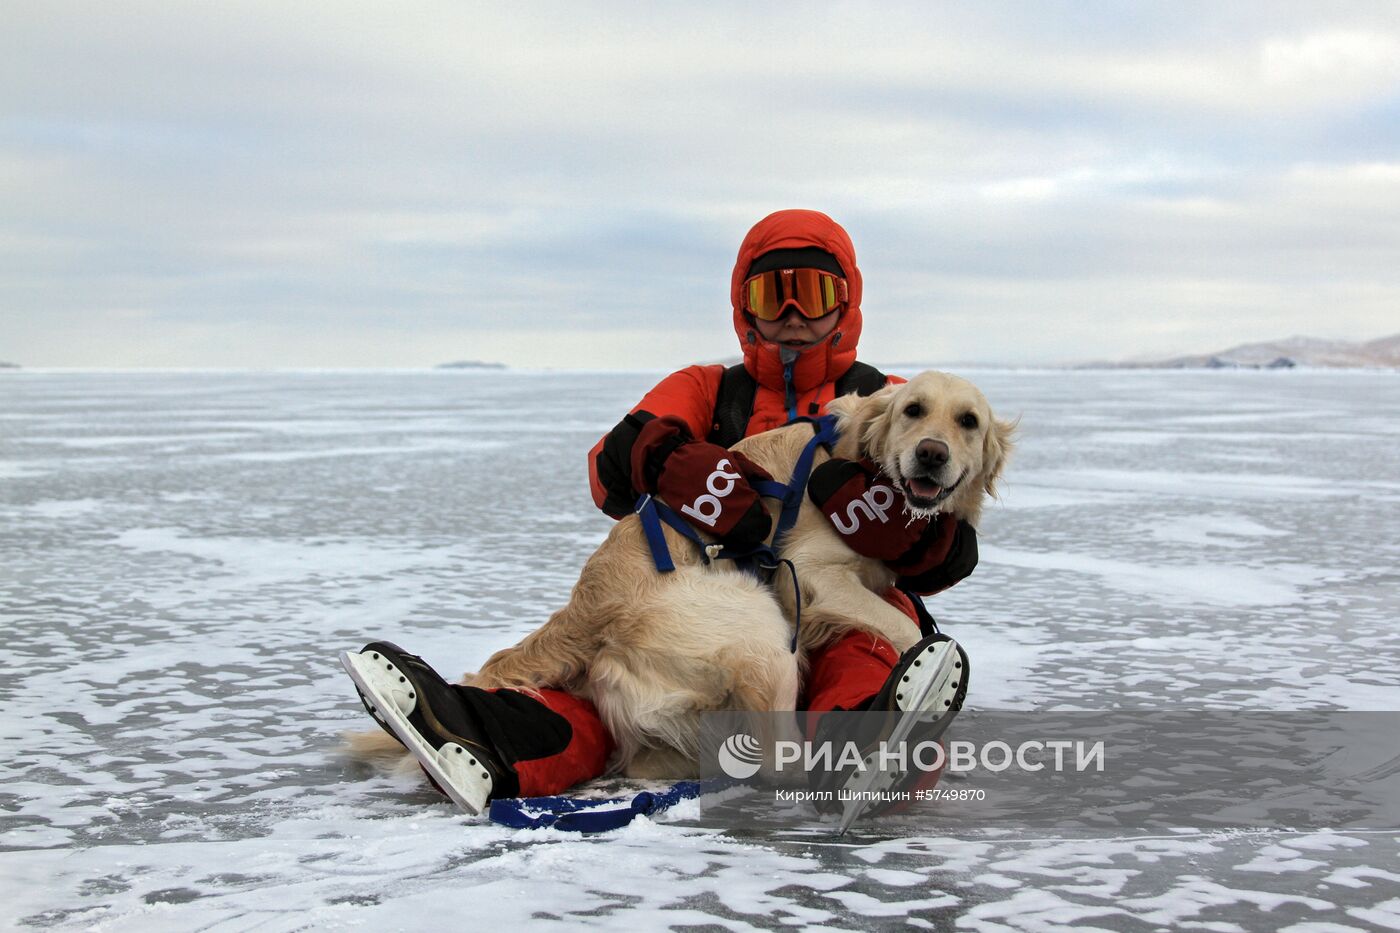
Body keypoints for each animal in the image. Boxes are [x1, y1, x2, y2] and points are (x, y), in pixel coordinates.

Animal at [344, 369, 1013, 784]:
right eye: (913, 411)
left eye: (969, 422)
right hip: (759, 624)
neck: (861, 466)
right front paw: (931, 666)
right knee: (780, 759)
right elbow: (904, 629)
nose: (931, 454)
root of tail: (589, 613)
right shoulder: (814, 576)